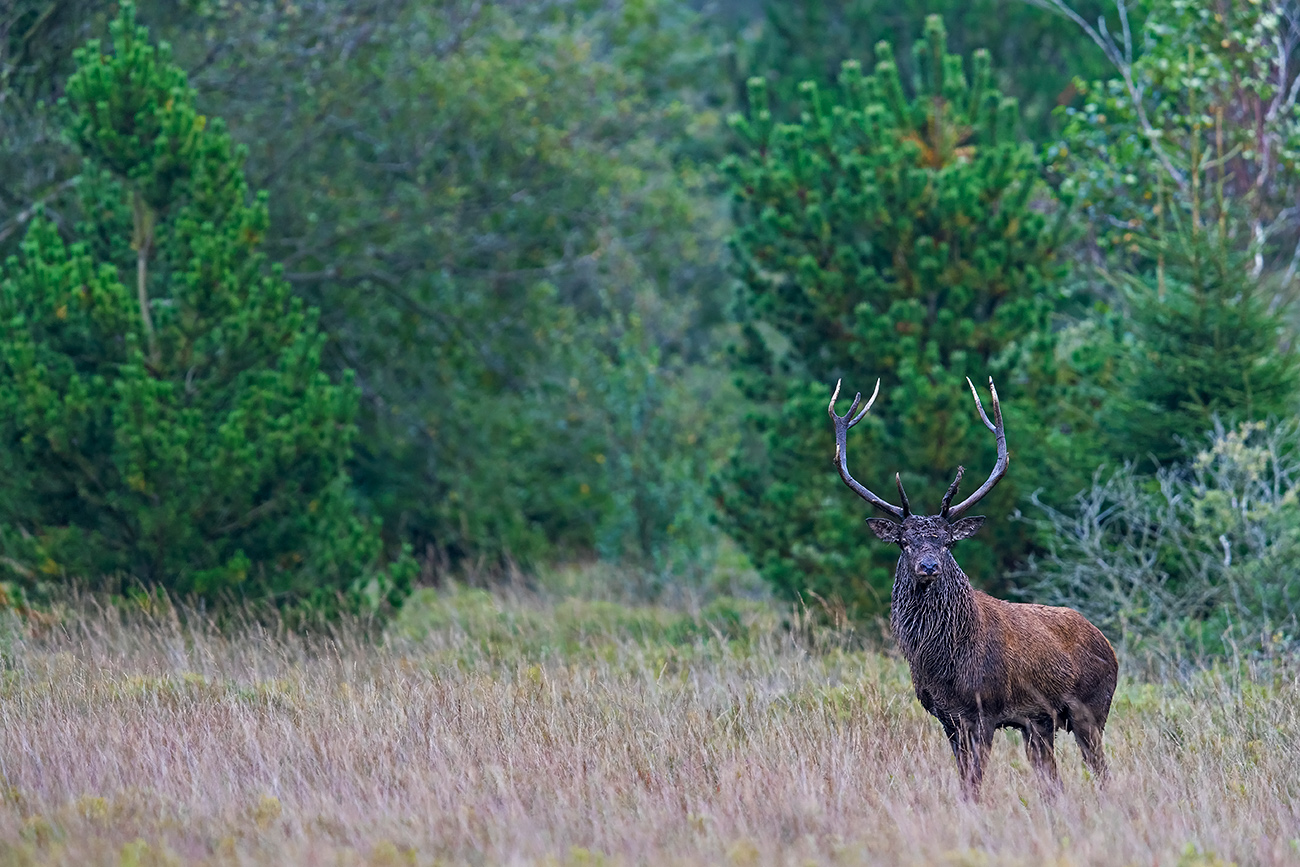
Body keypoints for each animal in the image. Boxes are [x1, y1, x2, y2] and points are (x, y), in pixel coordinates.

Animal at [832, 376, 1118, 800]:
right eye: (904, 542)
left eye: (947, 542)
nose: (929, 566)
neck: (942, 663)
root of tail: (1109, 646)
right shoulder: (947, 717)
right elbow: (965, 780)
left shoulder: (984, 710)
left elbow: (974, 781)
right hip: (1040, 723)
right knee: (1052, 779)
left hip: (1091, 710)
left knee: (1100, 769)